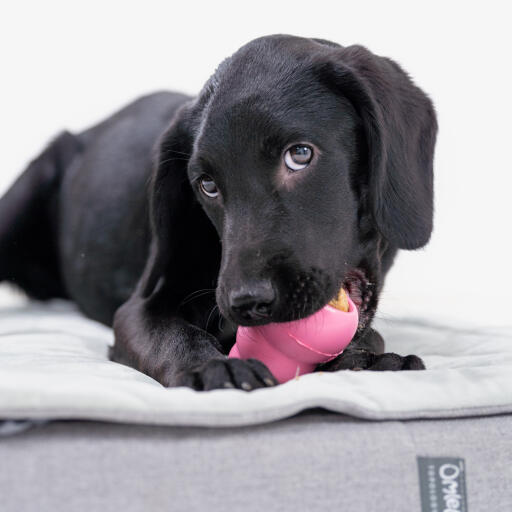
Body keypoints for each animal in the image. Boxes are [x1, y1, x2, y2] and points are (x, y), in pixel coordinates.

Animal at [0, 34, 436, 390]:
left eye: (299, 155)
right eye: (207, 184)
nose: (248, 303)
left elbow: (370, 334)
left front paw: (366, 358)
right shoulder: (136, 309)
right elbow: (170, 334)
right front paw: (209, 366)